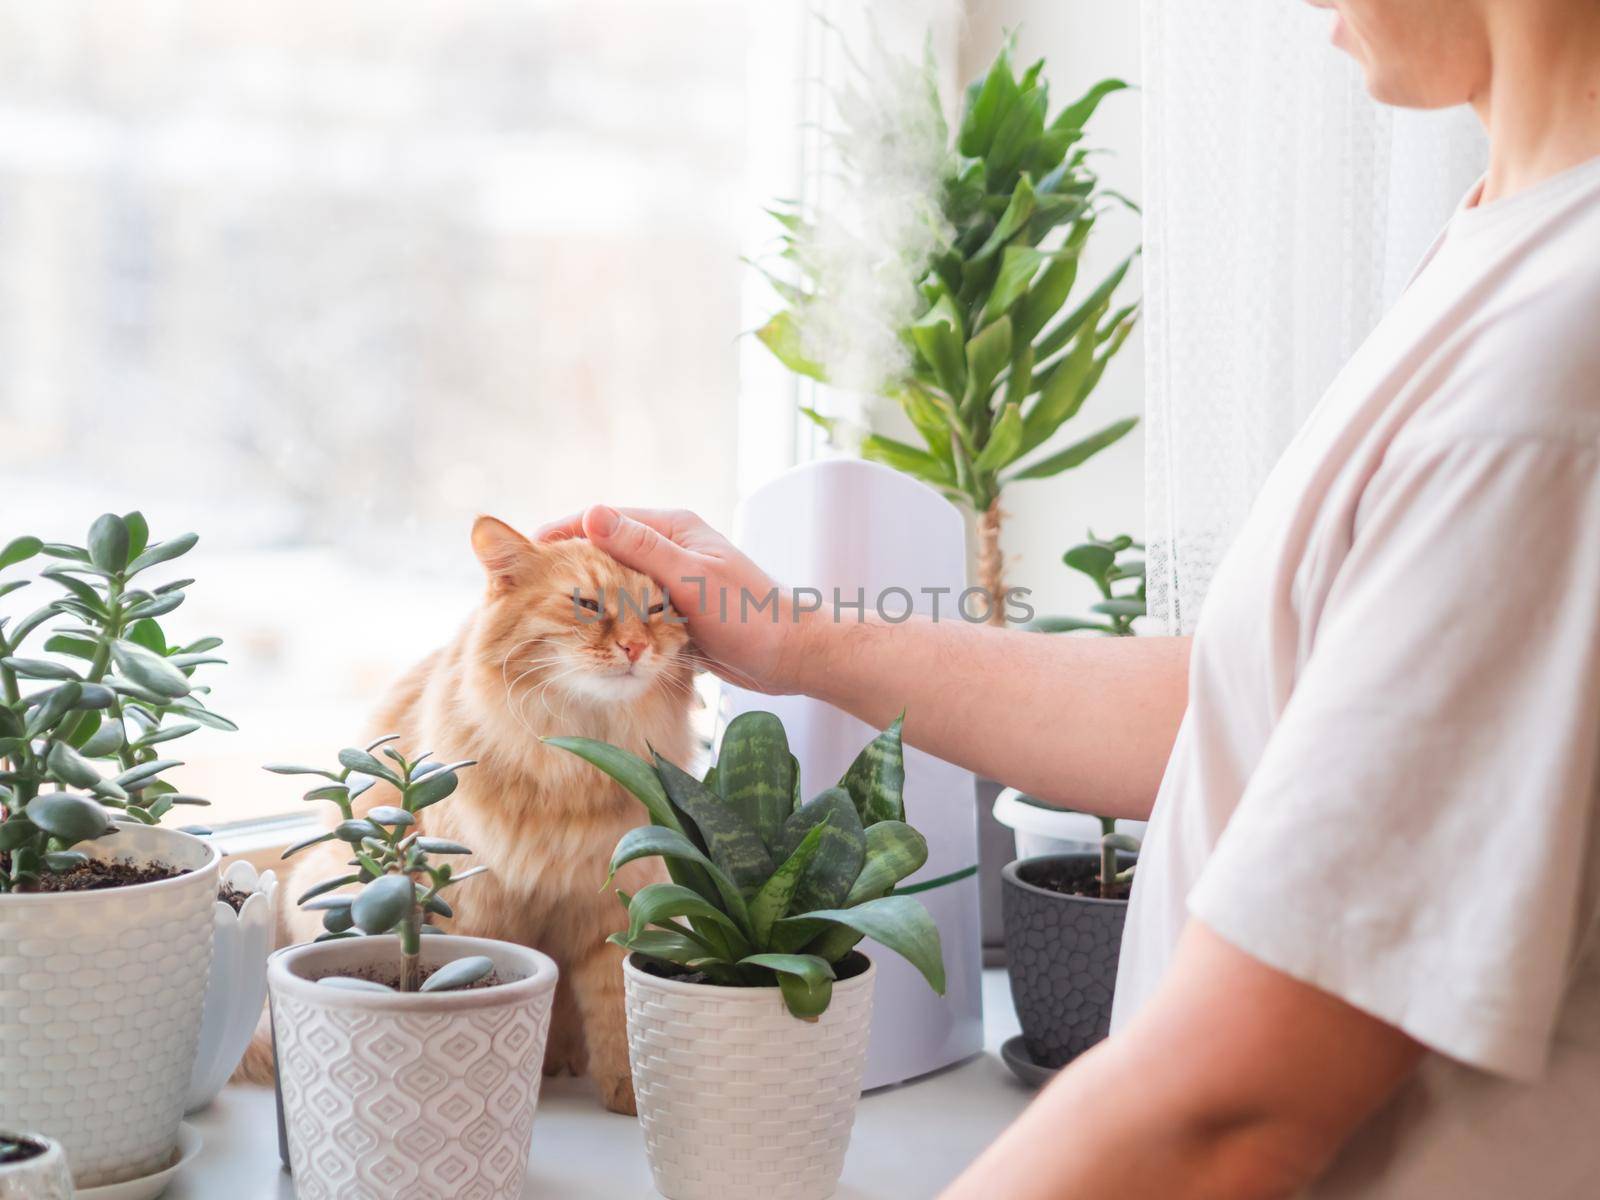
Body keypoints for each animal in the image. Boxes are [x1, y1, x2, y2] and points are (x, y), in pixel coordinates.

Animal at [267, 512, 688, 1113]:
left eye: (656, 610)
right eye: (587, 604)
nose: (635, 646)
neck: (575, 759)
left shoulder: (610, 909)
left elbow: (617, 1016)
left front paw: (631, 1100)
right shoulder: (485, 906)